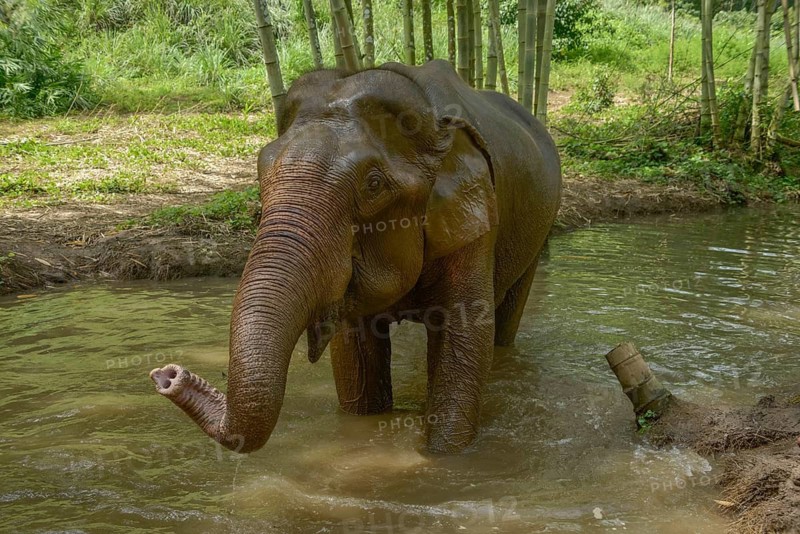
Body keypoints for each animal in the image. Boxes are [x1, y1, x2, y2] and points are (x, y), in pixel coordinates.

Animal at [150, 60, 561, 454]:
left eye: (373, 184)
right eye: (260, 173)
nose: (166, 374)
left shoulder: (475, 226)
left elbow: (464, 340)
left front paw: (443, 458)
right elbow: (354, 350)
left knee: (506, 318)